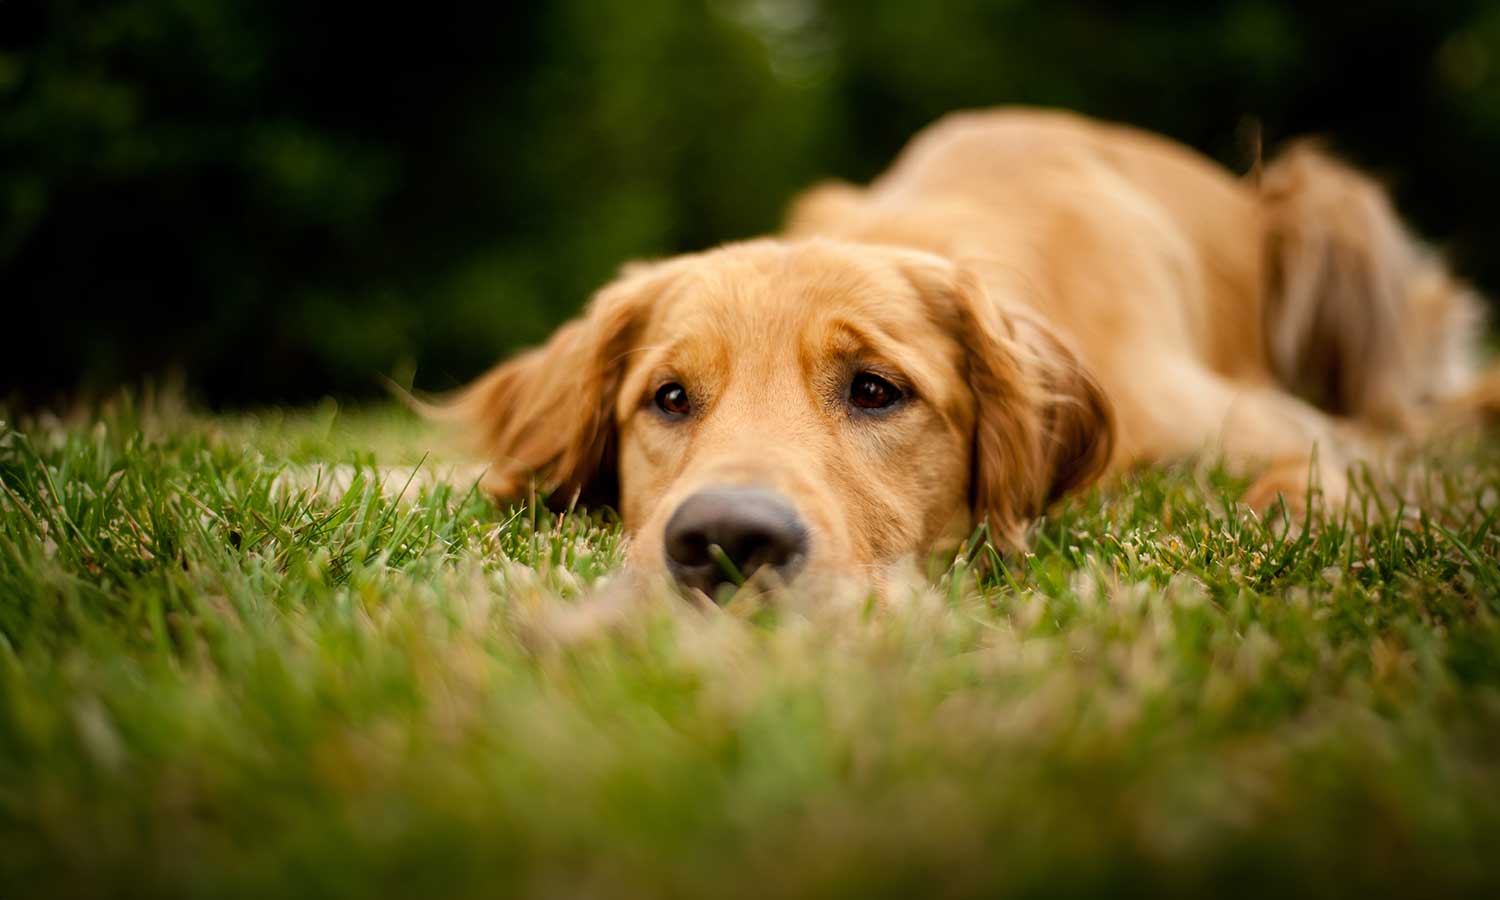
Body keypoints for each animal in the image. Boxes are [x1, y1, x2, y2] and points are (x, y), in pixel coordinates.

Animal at [435, 108, 1488, 600]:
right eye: (668, 398)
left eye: (875, 390)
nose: (727, 544)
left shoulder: (1266, 419)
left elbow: (1317, 468)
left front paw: (1284, 517)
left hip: (1331, 208)